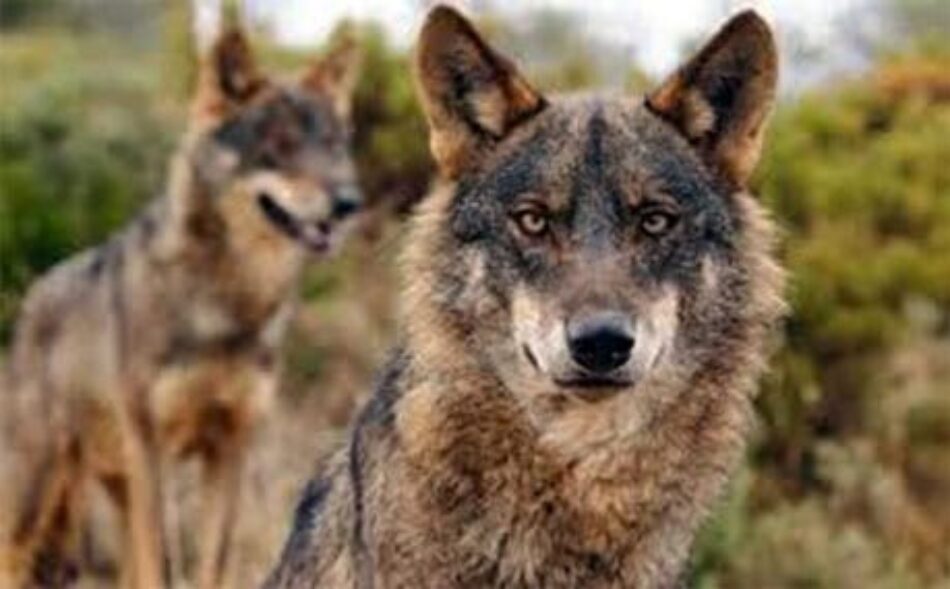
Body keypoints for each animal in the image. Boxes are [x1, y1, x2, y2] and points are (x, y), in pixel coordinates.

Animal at [0, 27, 362, 589]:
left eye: (334, 146)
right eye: (278, 147)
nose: (347, 203)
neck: (228, 307)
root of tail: (33, 294)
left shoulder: (231, 447)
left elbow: (212, 564)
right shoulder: (153, 449)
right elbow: (163, 565)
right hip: (38, 498)